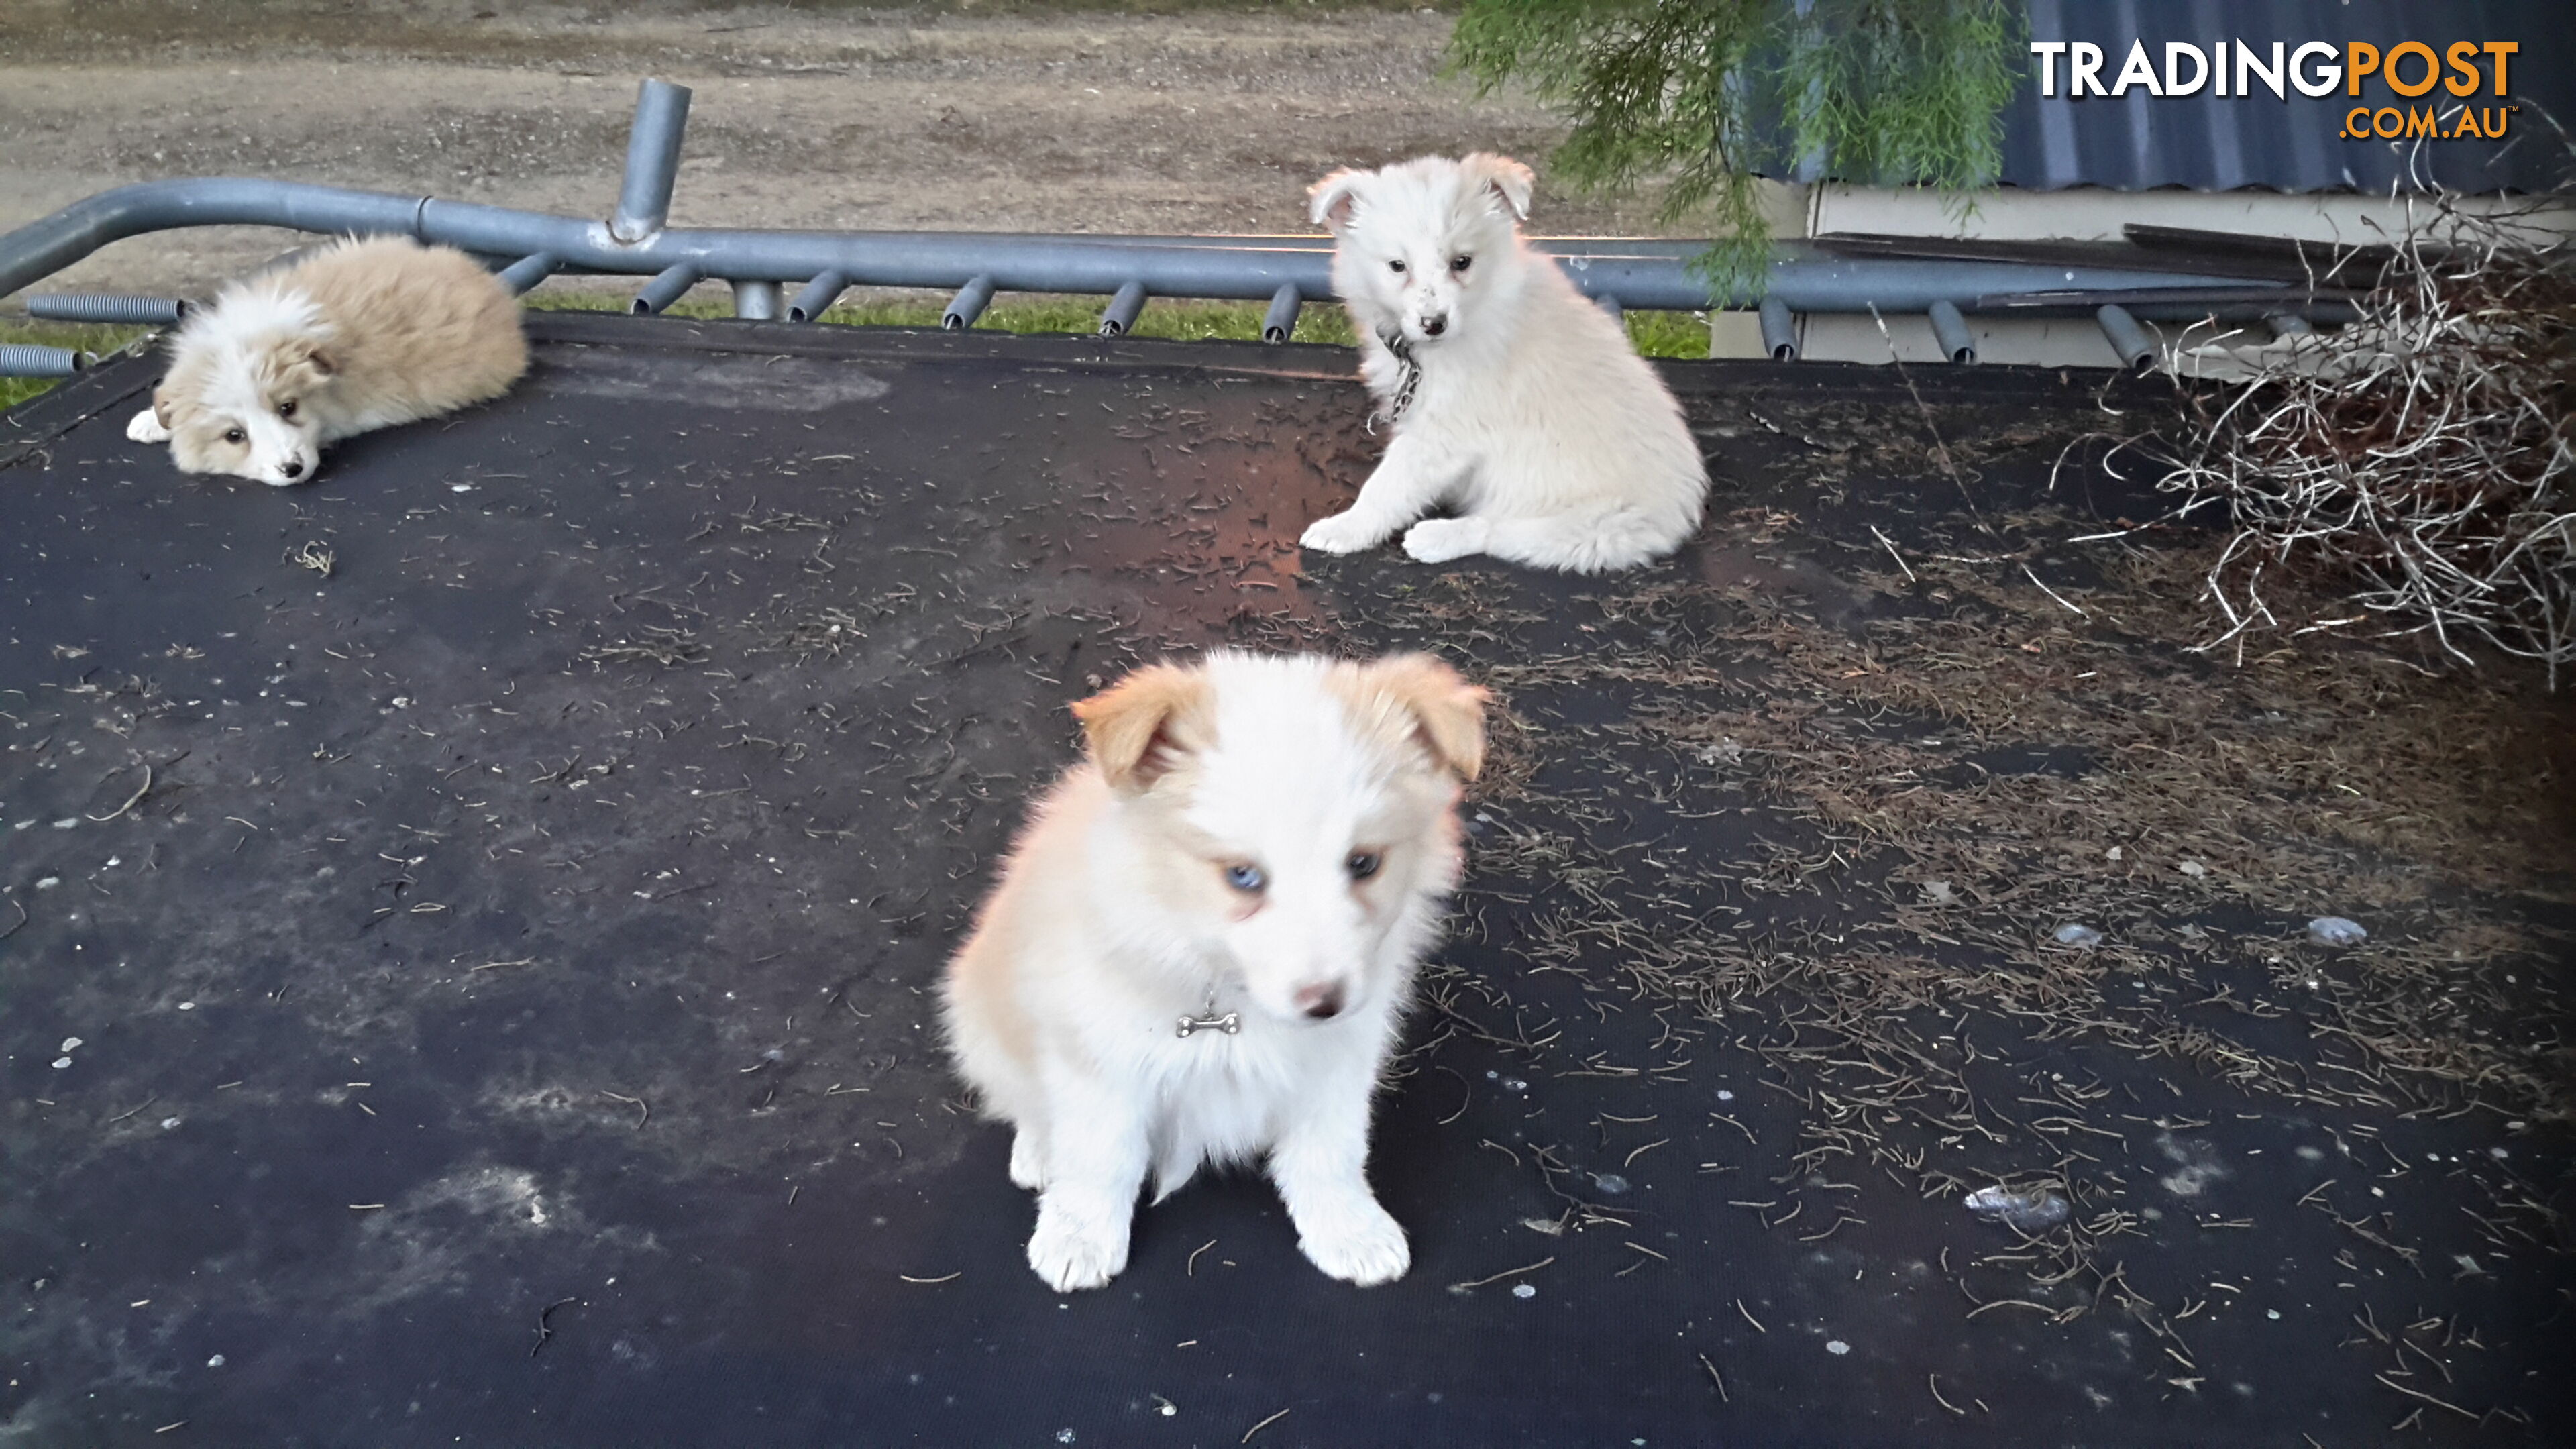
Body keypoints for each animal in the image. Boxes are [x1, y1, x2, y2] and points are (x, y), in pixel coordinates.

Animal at [943, 652, 1494, 1284]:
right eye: (1243, 876)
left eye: (1364, 864)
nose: (1325, 1004)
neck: (1221, 985)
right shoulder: (1099, 1057)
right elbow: (1099, 1155)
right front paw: (1079, 1238)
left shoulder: (1340, 1055)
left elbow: (1331, 1148)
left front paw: (1351, 1230)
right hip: (983, 1023)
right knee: (1024, 1101)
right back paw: (1038, 1152)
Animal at [1308, 152, 1710, 570]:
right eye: (1397, 266)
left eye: (1462, 262)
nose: (1434, 324)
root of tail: (1676, 511)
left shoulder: (1444, 431)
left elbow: (1388, 485)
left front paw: (1345, 528)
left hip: (1592, 526)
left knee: (1501, 530)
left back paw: (1436, 537)